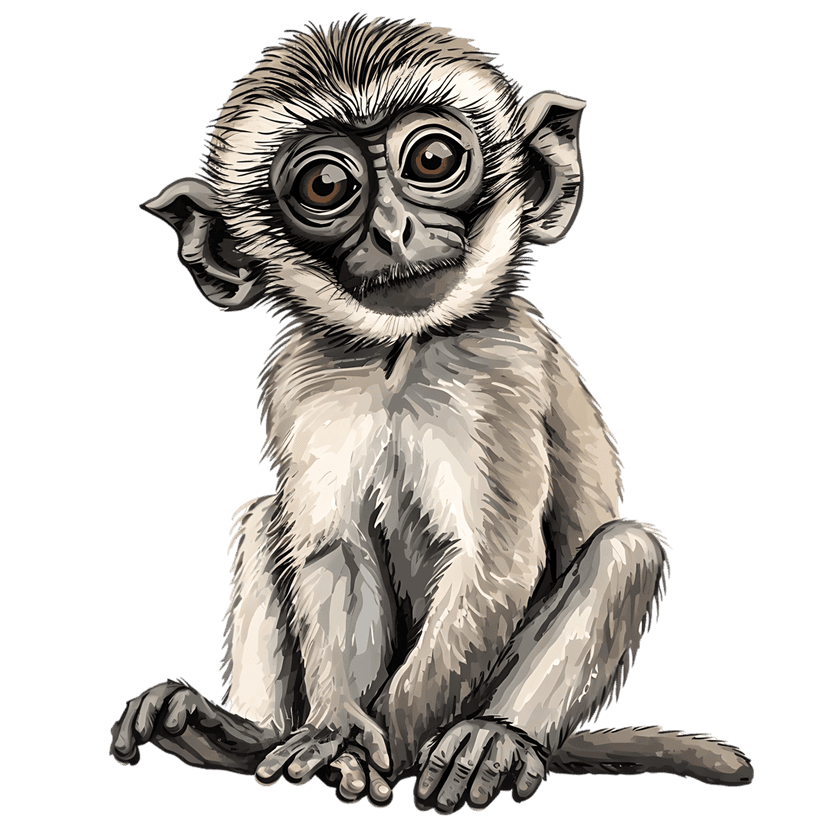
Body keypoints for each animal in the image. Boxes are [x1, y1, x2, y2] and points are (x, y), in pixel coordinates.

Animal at [109, 17, 753, 813]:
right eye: (327, 186)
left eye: (434, 159)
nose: (392, 230)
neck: (401, 356)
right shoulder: (305, 382)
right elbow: (333, 551)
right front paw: (336, 729)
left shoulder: (496, 377)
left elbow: (494, 566)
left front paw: (371, 743)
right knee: (266, 516)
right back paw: (236, 735)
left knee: (626, 549)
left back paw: (495, 737)